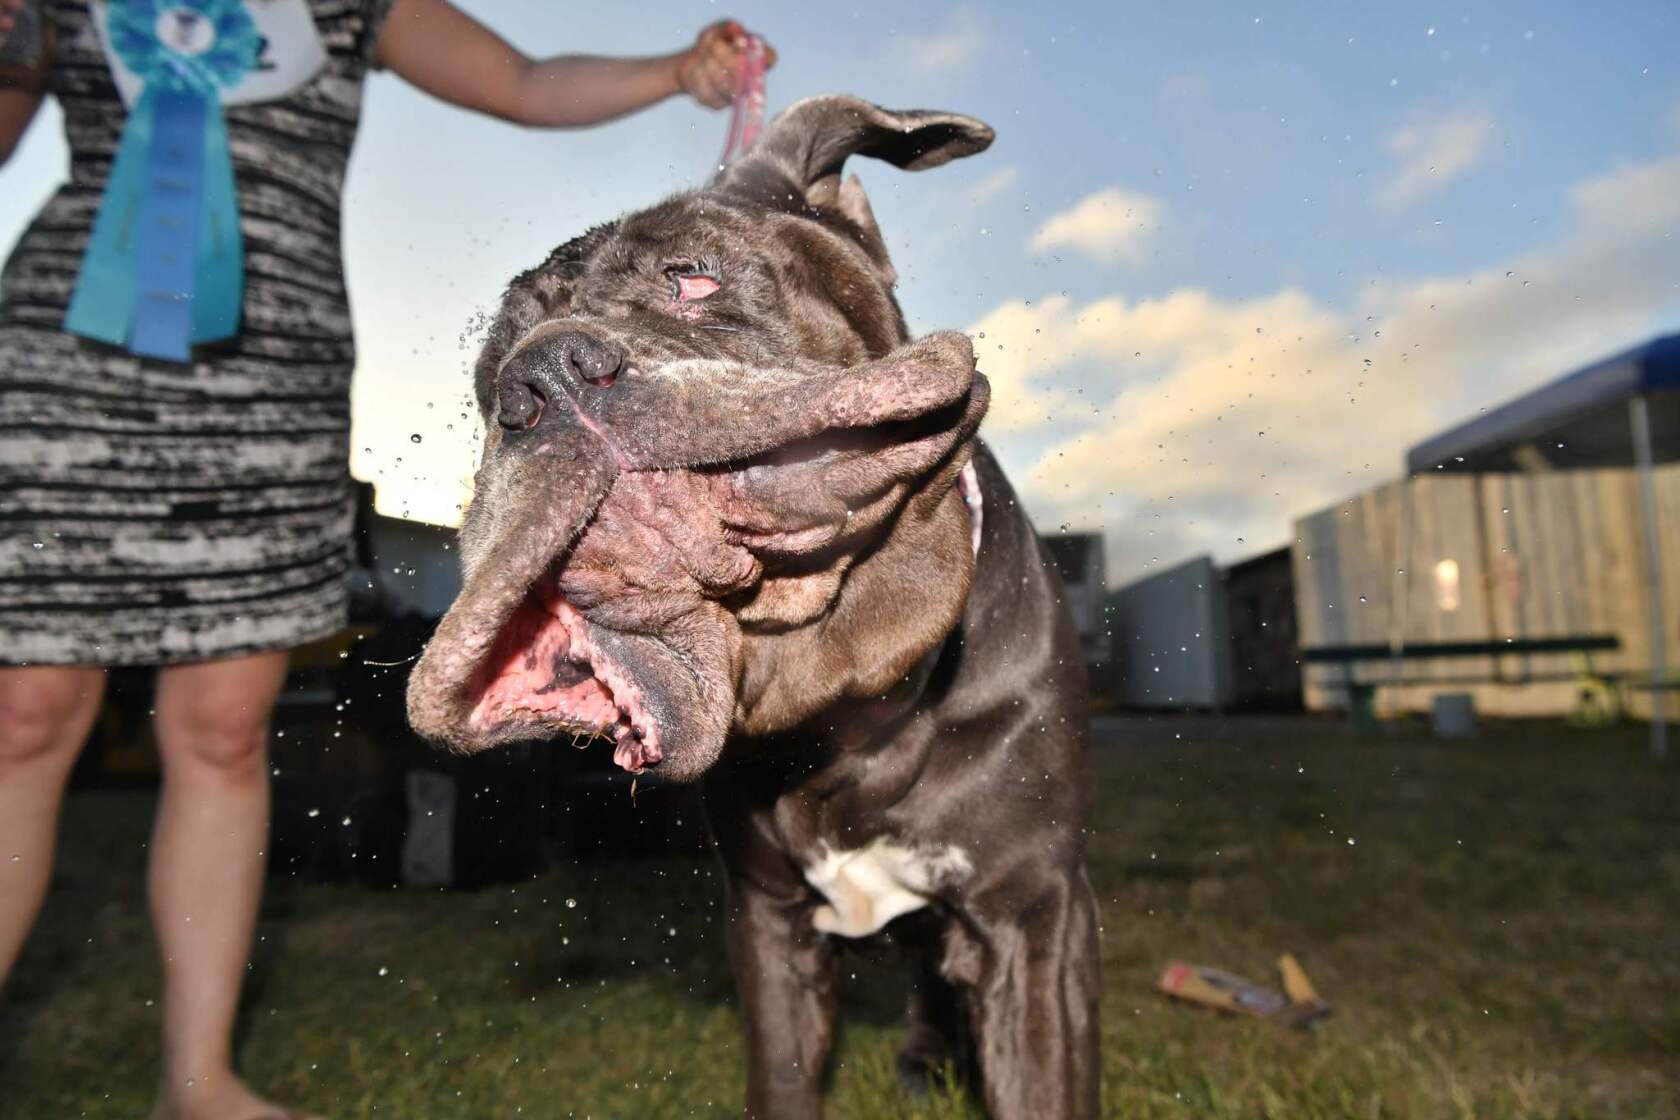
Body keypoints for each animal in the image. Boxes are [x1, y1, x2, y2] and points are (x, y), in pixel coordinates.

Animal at [406, 98, 1102, 1120]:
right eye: (489, 376)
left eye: (693, 277)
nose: (541, 378)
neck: (845, 707)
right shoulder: (770, 933)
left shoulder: (1034, 921)